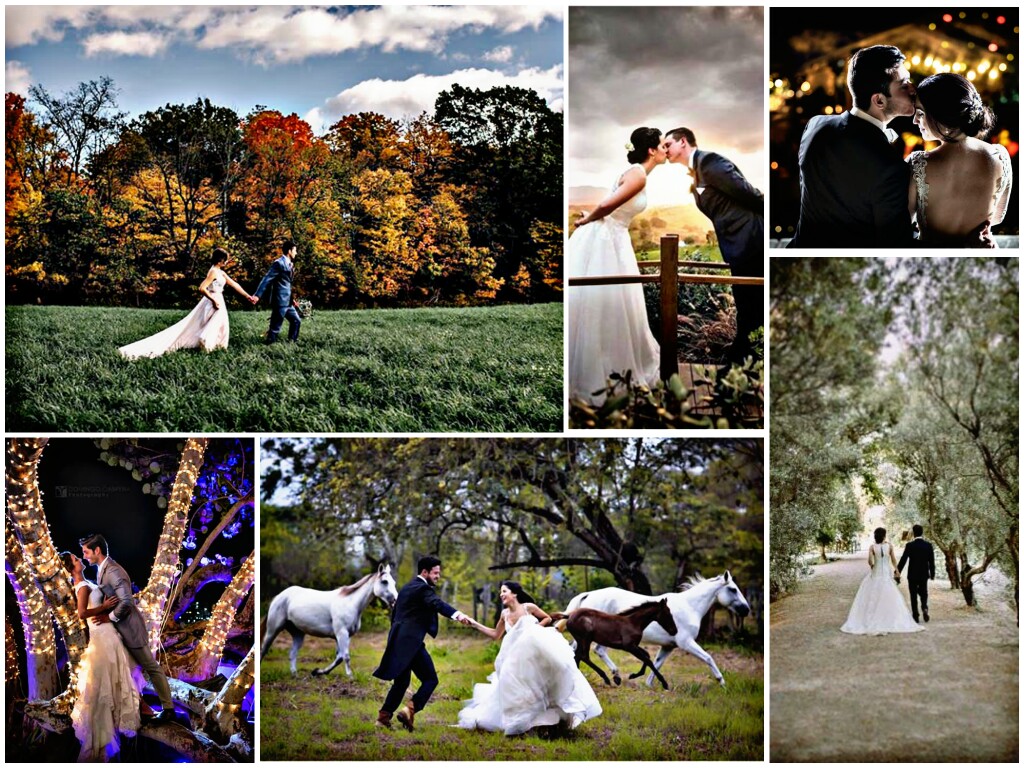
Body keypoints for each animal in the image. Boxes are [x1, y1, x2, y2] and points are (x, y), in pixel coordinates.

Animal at [260, 561, 395, 675]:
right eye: (384, 581)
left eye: (393, 582)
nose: (394, 599)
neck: (350, 603)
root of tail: (279, 596)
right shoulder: (341, 633)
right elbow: (346, 656)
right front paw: (350, 677)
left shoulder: (346, 635)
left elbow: (339, 657)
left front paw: (318, 672)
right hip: (273, 630)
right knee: (263, 649)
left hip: (298, 633)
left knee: (292, 653)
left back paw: (295, 675)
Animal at [561, 573, 753, 692]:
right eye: (733, 589)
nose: (746, 610)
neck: (690, 607)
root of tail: (587, 594)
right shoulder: (686, 642)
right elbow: (708, 658)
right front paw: (722, 683)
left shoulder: (668, 646)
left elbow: (656, 663)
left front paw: (650, 684)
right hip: (593, 637)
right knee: (581, 652)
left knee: (588, 652)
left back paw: (615, 676)